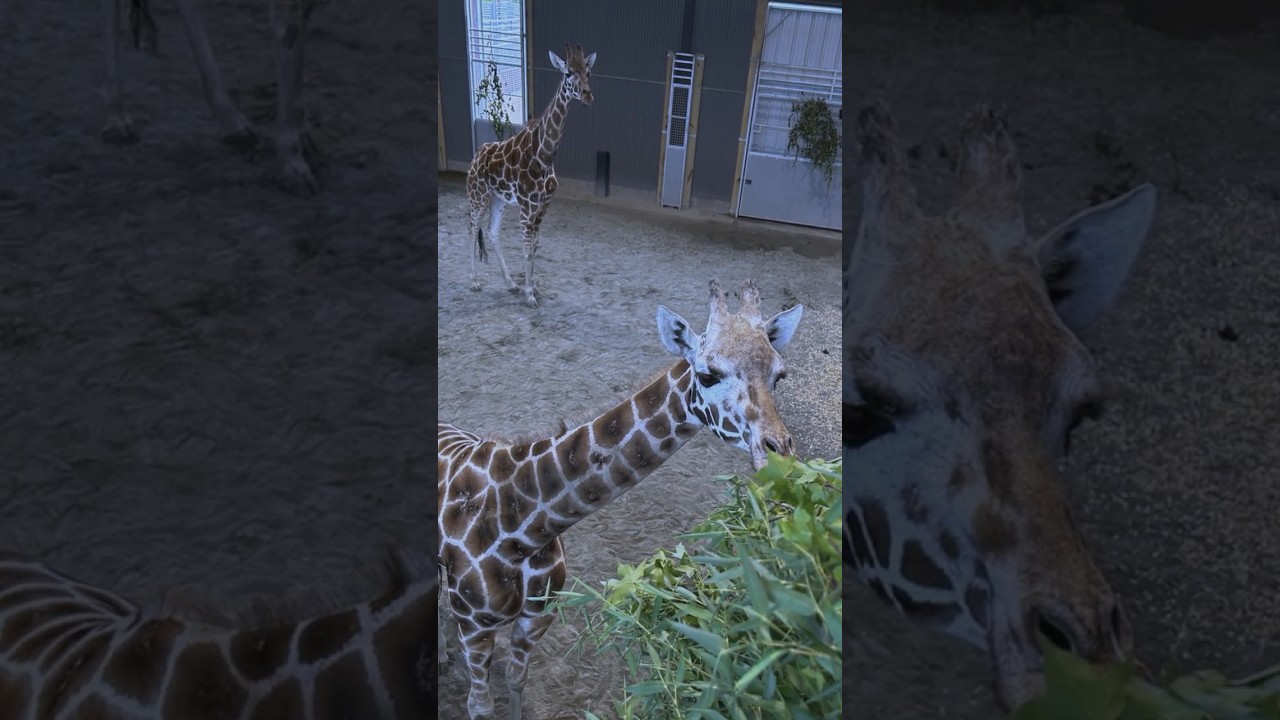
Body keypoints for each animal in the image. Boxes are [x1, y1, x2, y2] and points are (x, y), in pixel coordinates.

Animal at [438, 278, 804, 720]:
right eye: (707, 374)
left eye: (779, 375)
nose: (778, 452)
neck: (524, 524)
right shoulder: (474, 625)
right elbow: (479, 705)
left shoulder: (537, 615)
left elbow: (516, 681)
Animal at [465, 43, 597, 307]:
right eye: (568, 72)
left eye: (588, 72)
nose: (588, 95)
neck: (544, 155)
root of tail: (474, 158)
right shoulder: (527, 207)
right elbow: (526, 249)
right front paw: (530, 296)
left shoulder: (544, 205)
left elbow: (535, 247)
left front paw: (532, 289)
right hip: (478, 196)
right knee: (473, 229)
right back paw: (474, 282)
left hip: (498, 199)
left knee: (492, 232)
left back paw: (510, 283)